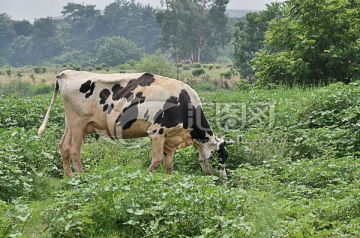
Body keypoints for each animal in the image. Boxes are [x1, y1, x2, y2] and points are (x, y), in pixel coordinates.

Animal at [38, 69, 231, 178]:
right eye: (220, 157)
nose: (223, 179)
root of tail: (65, 73)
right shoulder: (157, 132)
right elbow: (156, 161)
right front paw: (143, 177)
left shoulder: (169, 138)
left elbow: (168, 164)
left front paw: (168, 181)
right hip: (78, 123)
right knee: (74, 151)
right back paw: (81, 177)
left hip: (71, 124)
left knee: (63, 146)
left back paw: (69, 178)